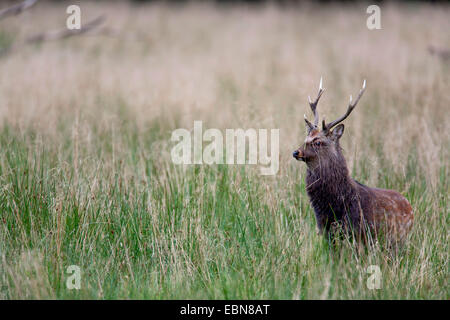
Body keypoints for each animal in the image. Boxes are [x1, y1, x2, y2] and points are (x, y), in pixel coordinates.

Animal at [294, 79, 414, 244]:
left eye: (318, 142)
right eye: (306, 138)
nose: (296, 152)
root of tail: (411, 209)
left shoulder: (359, 232)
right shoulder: (326, 230)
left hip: (398, 239)